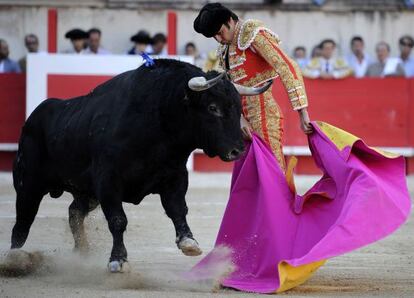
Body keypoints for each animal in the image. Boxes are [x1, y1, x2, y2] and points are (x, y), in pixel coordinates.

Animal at [11, 58, 266, 272]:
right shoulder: (108, 182)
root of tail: (32, 118)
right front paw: (118, 259)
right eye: (213, 108)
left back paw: (81, 252)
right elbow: (118, 220)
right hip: (28, 185)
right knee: (22, 223)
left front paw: (188, 242)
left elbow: (177, 209)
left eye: (239, 108)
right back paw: (14, 260)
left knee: (74, 212)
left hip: (85, 192)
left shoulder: (175, 176)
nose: (238, 150)